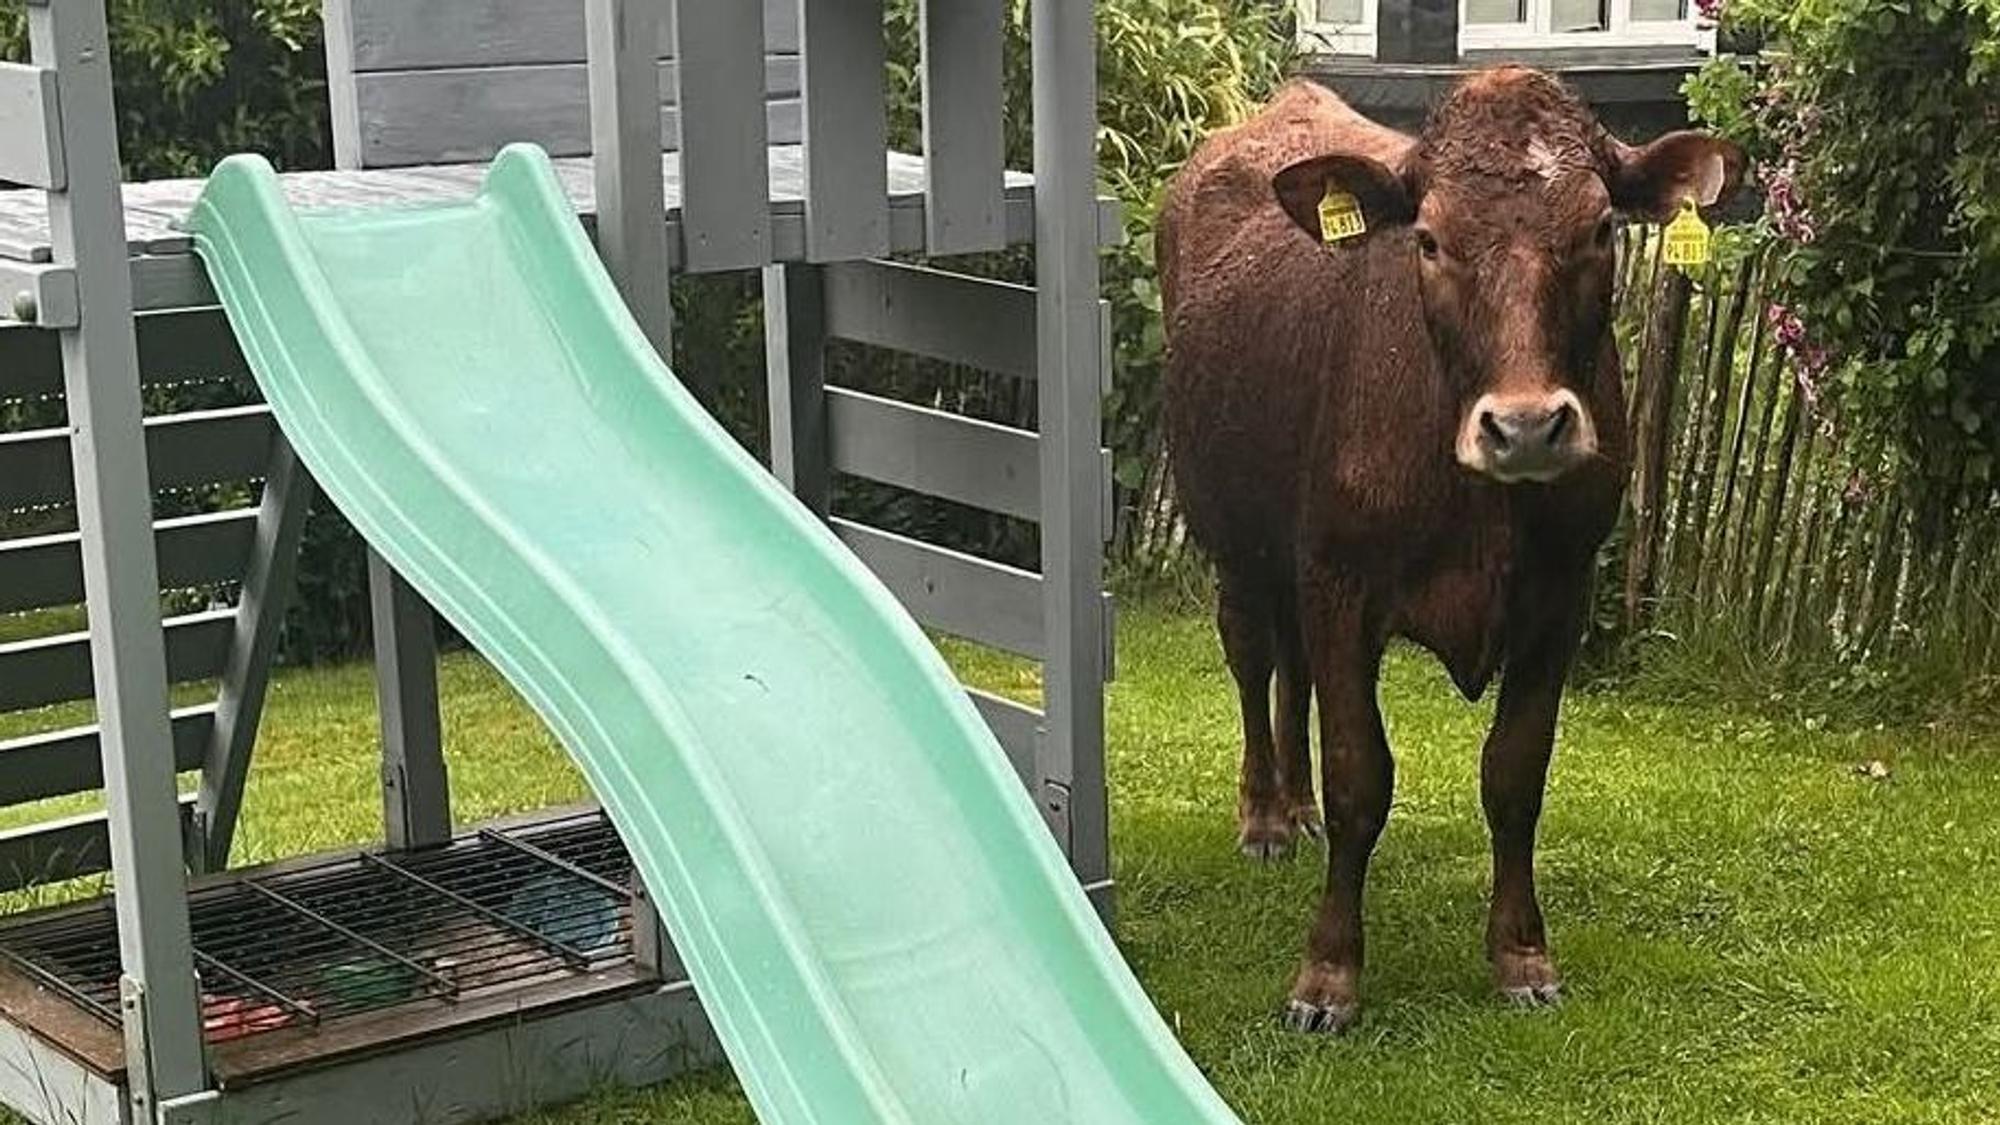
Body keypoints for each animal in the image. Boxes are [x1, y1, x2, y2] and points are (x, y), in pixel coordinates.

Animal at [1157, 68, 1743, 1033]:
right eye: (1428, 239)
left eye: (1600, 228)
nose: (1527, 425)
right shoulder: (1342, 579)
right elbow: (1360, 775)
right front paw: (1328, 974)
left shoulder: (1561, 592)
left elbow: (1515, 773)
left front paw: (1522, 955)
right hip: (1234, 535)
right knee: (1251, 657)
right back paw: (1267, 816)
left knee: (1292, 669)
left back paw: (1295, 805)